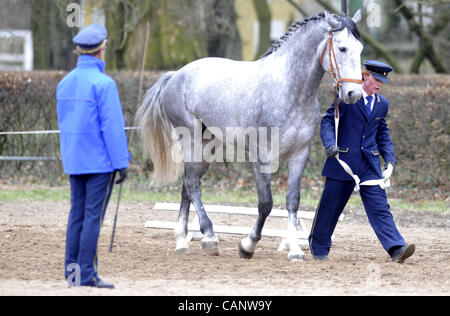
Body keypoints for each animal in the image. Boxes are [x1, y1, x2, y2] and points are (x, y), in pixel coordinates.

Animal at [139, 10, 364, 262]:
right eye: (342, 48)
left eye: (361, 49)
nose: (354, 93)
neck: (289, 90)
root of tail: (176, 75)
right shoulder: (261, 157)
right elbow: (266, 203)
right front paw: (247, 245)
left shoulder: (299, 154)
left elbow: (292, 201)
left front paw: (295, 251)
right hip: (191, 140)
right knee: (192, 183)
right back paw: (209, 236)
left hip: (209, 145)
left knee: (188, 184)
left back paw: (181, 241)